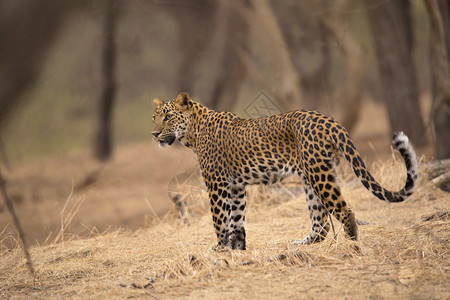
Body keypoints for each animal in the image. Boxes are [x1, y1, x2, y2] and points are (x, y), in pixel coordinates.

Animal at [151, 92, 418, 251]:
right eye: (154, 118)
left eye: (168, 117)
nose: (154, 134)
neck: (192, 134)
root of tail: (330, 120)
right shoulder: (236, 186)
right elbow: (236, 220)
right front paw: (237, 249)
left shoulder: (217, 183)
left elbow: (219, 218)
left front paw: (219, 249)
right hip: (313, 177)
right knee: (320, 224)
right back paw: (301, 244)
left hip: (319, 176)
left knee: (345, 211)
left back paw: (350, 247)